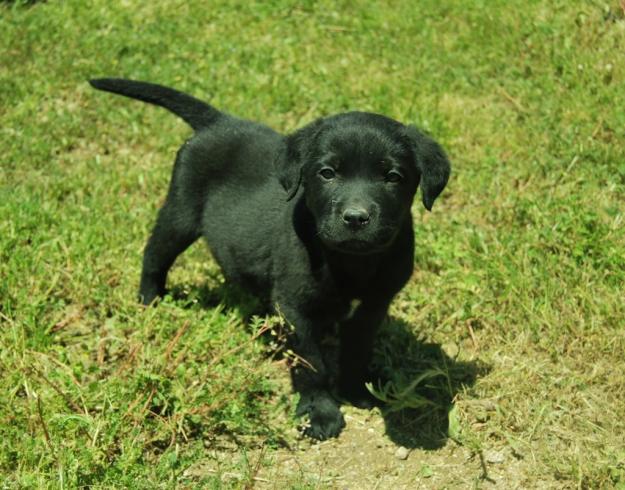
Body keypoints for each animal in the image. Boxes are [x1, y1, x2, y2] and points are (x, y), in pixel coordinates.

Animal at [89, 77, 448, 440]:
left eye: (393, 177)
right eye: (327, 173)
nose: (356, 218)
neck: (350, 261)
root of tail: (221, 121)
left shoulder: (373, 306)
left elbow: (356, 351)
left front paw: (355, 389)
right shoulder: (296, 308)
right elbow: (312, 364)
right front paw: (319, 412)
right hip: (180, 212)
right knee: (154, 255)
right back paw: (150, 301)